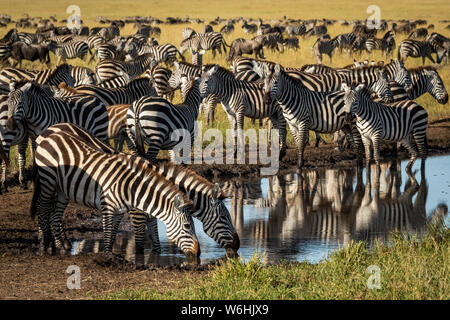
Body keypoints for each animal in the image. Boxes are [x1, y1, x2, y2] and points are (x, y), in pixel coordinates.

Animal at [31, 122, 200, 264]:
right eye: (187, 226)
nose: (198, 253)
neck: (133, 188)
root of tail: (49, 133)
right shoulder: (112, 208)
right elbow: (111, 233)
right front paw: (109, 257)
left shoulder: (121, 211)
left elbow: (114, 232)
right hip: (48, 181)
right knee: (42, 208)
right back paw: (43, 244)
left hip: (62, 188)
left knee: (55, 213)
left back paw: (60, 245)